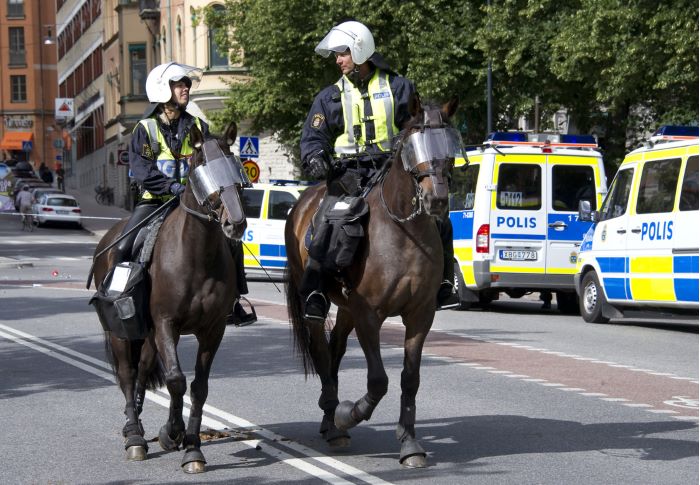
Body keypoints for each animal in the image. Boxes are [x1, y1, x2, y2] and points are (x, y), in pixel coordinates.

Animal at [91, 121, 247, 472]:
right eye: (201, 165)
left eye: (233, 165)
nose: (236, 224)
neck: (197, 256)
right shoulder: (166, 323)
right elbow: (176, 380)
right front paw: (174, 434)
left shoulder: (212, 330)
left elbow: (198, 388)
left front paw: (190, 445)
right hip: (122, 332)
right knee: (127, 373)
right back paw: (134, 436)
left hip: (148, 334)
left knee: (143, 369)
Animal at [284, 95, 460, 468]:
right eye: (414, 145)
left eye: (450, 145)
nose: (437, 199)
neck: (403, 230)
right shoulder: (369, 316)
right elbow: (378, 380)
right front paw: (348, 414)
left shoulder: (420, 315)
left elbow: (410, 378)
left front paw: (409, 442)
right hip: (318, 304)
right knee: (322, 353)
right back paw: (333, 420)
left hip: (347, 309)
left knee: (335, 350)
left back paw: (329, 420)